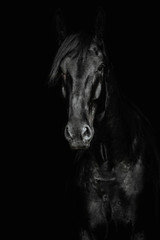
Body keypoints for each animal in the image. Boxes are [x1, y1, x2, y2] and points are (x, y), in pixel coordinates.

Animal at [49, 9, 160, 240]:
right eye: (62, 71)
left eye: (100, 67)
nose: (77, 133)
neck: (108, 162)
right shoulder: (85, 231)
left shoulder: (140, 230)